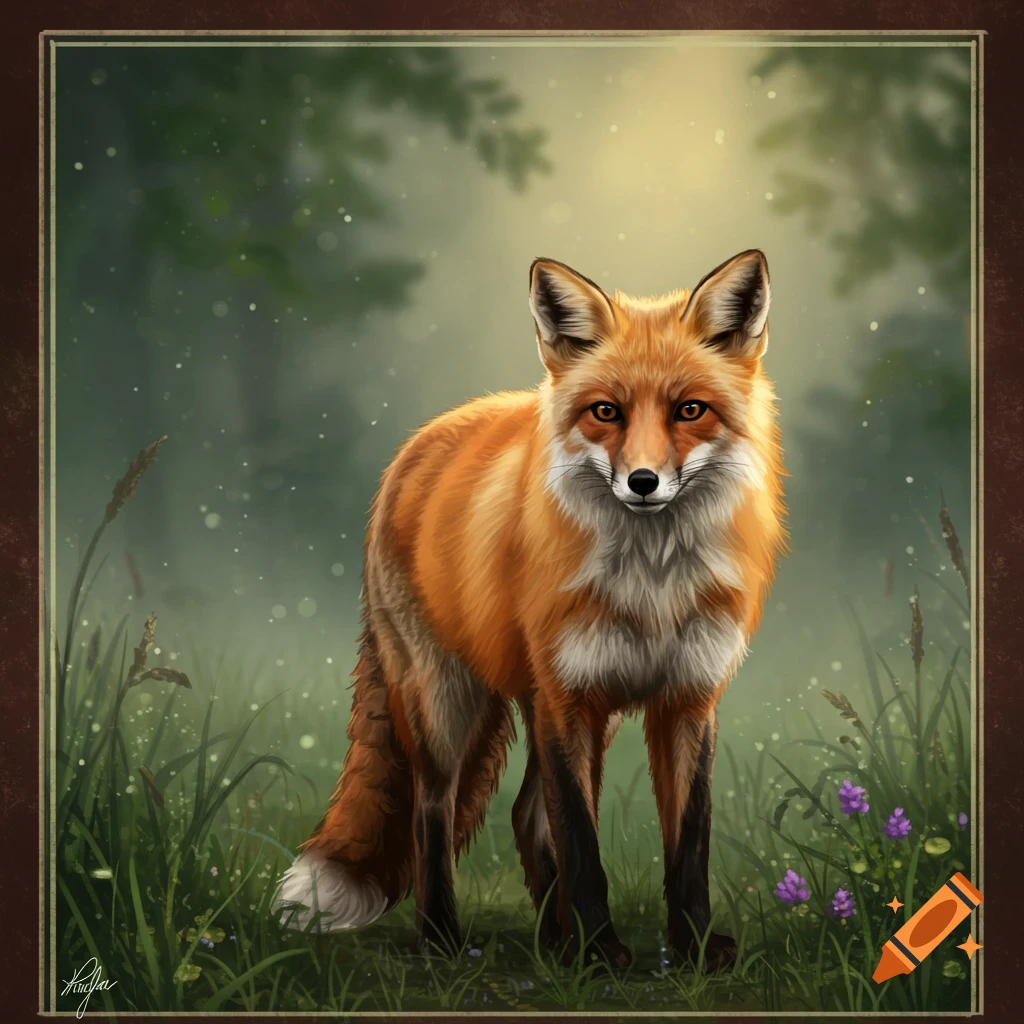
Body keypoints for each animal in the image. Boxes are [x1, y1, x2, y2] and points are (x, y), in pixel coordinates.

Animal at [272, 248, 787, 971]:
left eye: (691, 410)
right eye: (606, 411)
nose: (643, 482)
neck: (650, 590)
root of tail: (418, 443)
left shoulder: (686, 699)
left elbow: (688, 845)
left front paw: (689, 950)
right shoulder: (567, 698)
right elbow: (582, 845)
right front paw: (599, 953)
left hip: (561, 708)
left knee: (523, 816)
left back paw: (552, 943)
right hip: (447, 700)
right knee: (432, 813)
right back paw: (444, 939)